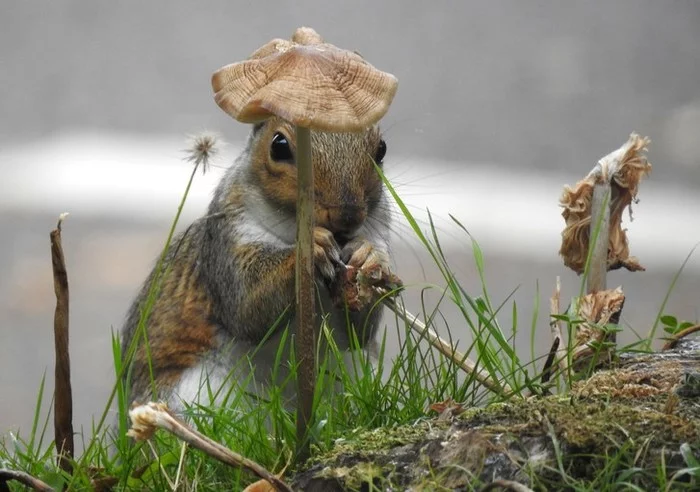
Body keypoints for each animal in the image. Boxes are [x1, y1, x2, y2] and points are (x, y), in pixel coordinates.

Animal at [119, 116, 394, 412]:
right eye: (279, 146)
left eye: (382, 149)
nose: (348, 216)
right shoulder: (227, 241)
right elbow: (246, 304)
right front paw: (310, 247)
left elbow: (357, 334)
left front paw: (367, 256)